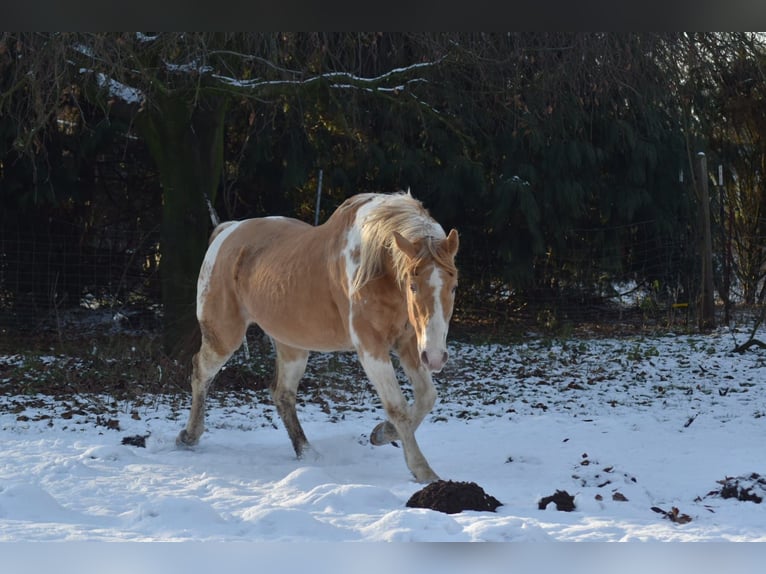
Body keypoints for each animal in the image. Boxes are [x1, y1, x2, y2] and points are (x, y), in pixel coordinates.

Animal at [176, 191, 459, 483]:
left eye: (453, 286)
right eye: (412, 286)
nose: (436, 358)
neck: (375, 264)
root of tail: (227, 232)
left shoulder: (410, 344)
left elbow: (426, 397)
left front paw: (381, 433)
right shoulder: (371, 347)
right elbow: (398, 407)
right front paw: (422, 470)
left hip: (292, 346)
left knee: (283, 393)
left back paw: (306, 451)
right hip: (224, 336)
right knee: (201, 371)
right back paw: (189, 436)